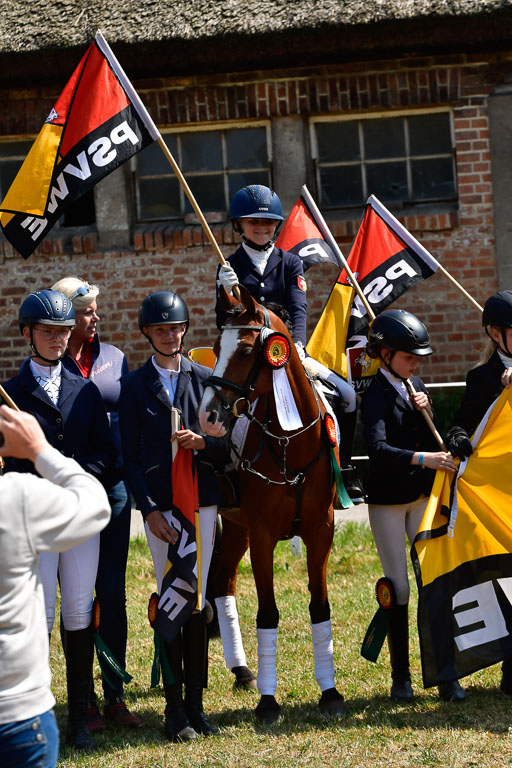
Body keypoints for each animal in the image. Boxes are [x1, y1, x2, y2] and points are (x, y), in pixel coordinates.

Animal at [198, 284, 346, 724]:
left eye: (248, 350)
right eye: (217, 347)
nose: (208, 416)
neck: (290, 444)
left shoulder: (321, 532)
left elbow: (320, 606)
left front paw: (330, 693)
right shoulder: (263, 536)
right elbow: (267, 613)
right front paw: (268, 702)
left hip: (237, 527)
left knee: (223, 583)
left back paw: (243, 671)